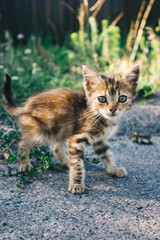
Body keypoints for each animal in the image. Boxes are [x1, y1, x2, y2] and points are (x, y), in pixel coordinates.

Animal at [2, 64, 140, 194]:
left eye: (122, 98)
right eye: (102, 98)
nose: (112, 109)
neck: (98, 115)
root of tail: (24, 108)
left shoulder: (99, 140)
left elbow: (107, 155)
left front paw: (113, 169)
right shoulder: (76, 139)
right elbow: (78, 165)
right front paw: (76, 184)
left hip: (61, 130)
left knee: (55, 147)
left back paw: (67, 162)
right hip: (40, 133)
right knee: (22, 142)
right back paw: (25, 164)